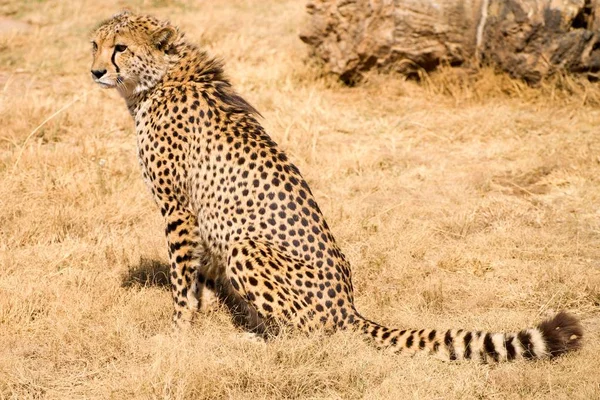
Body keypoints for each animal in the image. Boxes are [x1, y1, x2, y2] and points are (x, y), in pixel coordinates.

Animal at [91, 12, 584, 362]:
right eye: (95, 44)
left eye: (120, 48)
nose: (95, 72)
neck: (159, 79)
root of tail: (349, 305)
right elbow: (197, 277)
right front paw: (201, 314)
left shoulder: (177, 207)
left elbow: (181, 280)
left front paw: (178, 331)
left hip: (248, 247)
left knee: (315, 335)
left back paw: (261, 344)